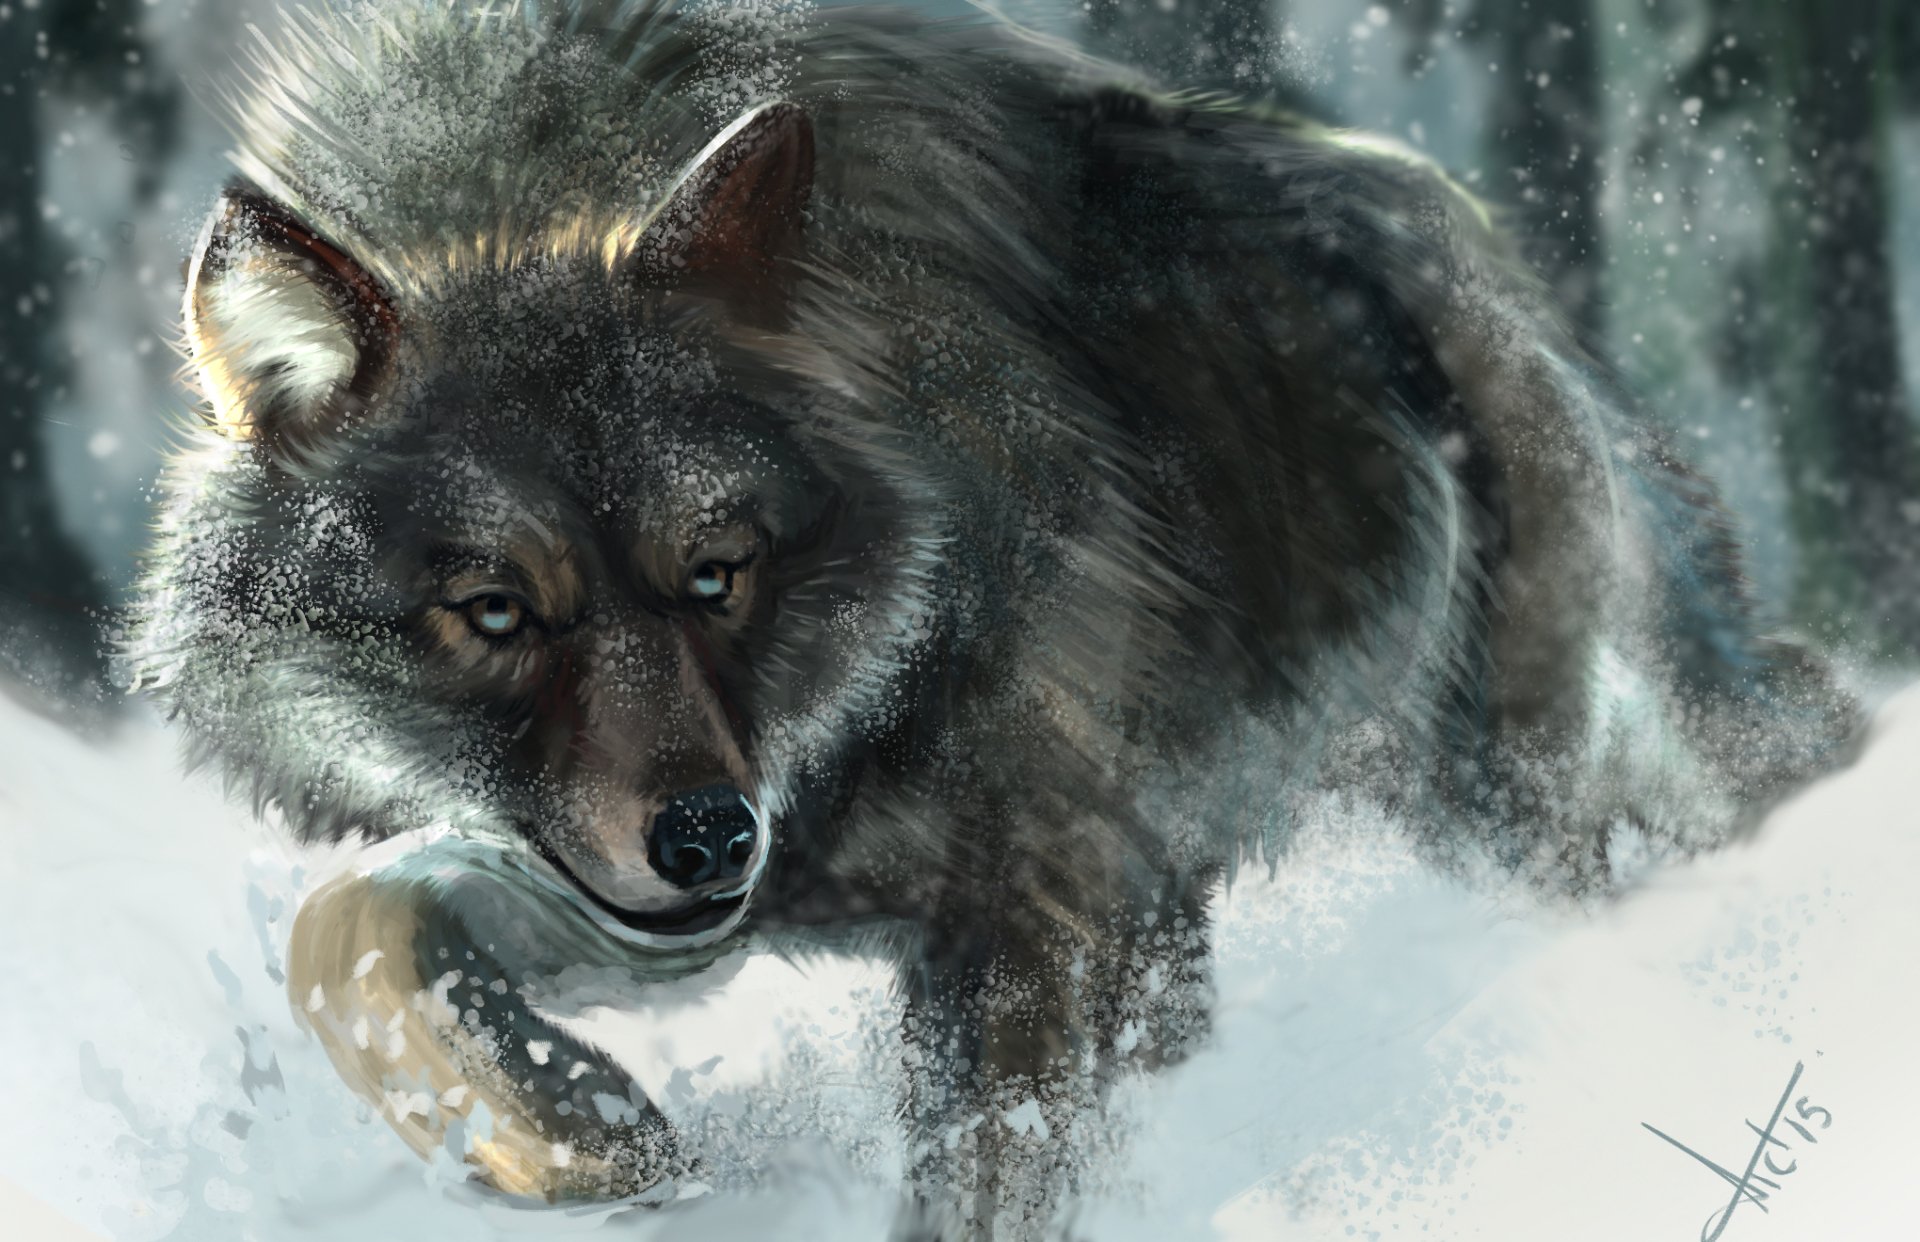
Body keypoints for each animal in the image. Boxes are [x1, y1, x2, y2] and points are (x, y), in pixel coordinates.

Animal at [130, 0, 1853, 1229]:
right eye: (495, 610)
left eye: (718, 571)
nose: (707, 836)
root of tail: (1460, 227)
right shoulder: (701, 888)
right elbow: (357, 921)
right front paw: (579, 1136)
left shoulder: (1012, 907)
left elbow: (987, 1184)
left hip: (1513, 787)